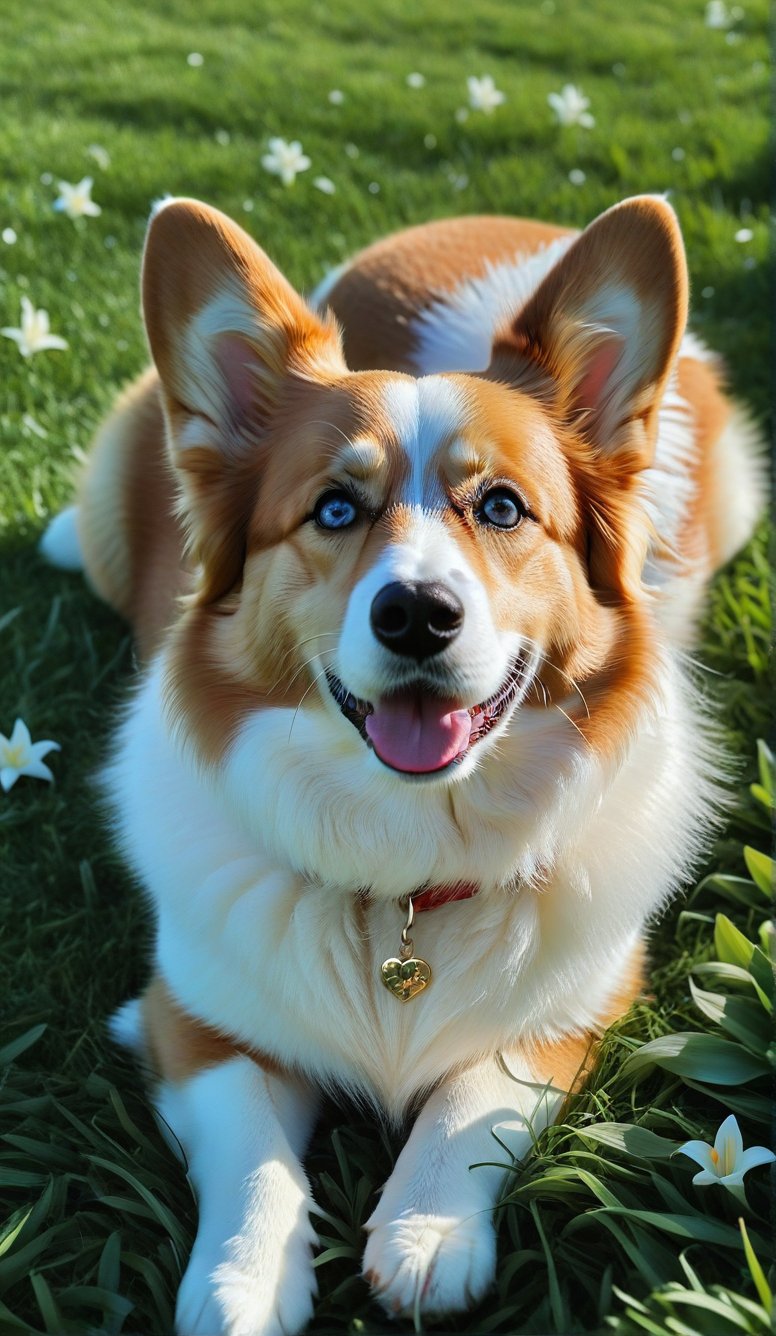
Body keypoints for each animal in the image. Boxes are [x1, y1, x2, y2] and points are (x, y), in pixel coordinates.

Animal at [43, 191, 763, 1336]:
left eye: (503, 506)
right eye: (334, 508)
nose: (417, 613)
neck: (407, 865)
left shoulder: (574, 1011)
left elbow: (474, 1093)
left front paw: (425, 1234)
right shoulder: (188, 1021)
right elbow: (252, 1154)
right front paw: (241, 1281)